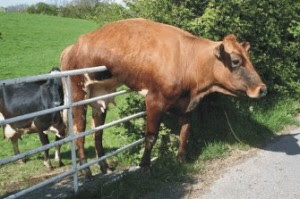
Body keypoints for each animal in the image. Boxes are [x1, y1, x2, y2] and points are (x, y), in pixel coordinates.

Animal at [59, 18, 266, 177]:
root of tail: (72, 47)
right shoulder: (154, 101)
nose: (262, 89)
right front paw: (145, 165)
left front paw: (182, 159)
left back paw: (105, 167)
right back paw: (86, 172)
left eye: (249, 58)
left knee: (97, 133)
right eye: (236, 61)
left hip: (100, 95)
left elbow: (185, 131)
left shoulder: (187, 105)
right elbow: (151, 136)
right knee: (78, 133)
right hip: (78, 93)